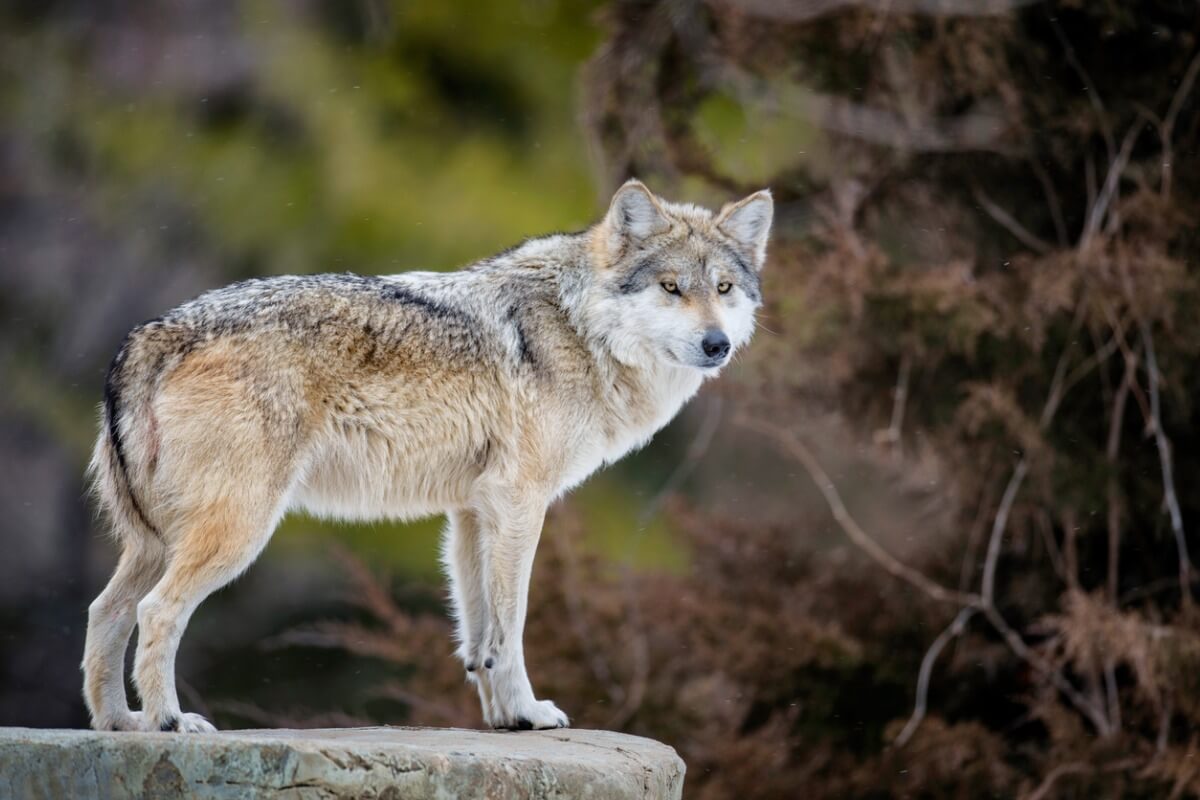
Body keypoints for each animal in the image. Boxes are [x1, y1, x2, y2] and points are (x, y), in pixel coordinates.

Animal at [82, 179, 772, 733]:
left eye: (723, 288)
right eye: (671, 288)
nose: (717, 344)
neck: (579, 327)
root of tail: (151, 332)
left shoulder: (472, 512)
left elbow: (479, 636)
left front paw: (503, 719)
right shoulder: (519, 504)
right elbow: (512, 625)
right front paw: (530, 711)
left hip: (155, 541)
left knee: (105, 612)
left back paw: (120, 724)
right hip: (237, 532)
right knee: (155, 612)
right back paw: (169, 722)